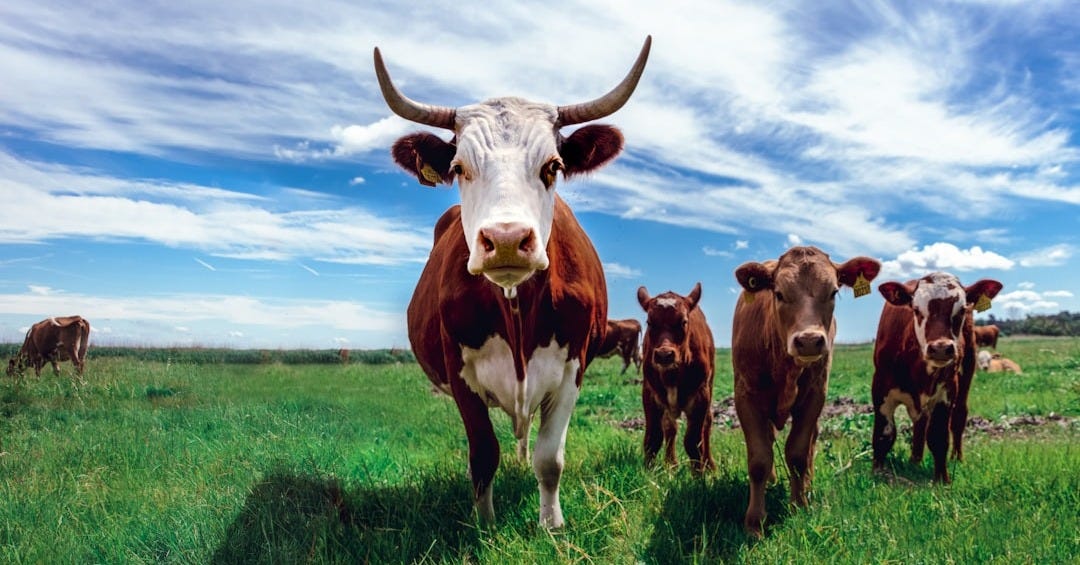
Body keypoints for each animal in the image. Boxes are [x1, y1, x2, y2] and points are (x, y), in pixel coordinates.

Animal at [375, 36, 651, 528]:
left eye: (553, 166)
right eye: (459, 168)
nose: (505, 240)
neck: (517, 308)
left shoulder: (573, 368)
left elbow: (550, 458)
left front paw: (551, 524)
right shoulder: (459, 372)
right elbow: (484, 454)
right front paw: (484, 523)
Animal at [636, 283, 715, 473]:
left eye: (683, 322)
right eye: (650, 322)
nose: (664, 355)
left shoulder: (701, 395)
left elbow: (693, 442)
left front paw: (699, 475)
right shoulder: (649, 393)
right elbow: (653, 438)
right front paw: (649, 472)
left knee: (707, 424)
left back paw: (709, 465)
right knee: (670, 427)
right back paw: (670, 464)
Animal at [732, 246, 881, 537]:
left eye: (833, 292)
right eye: (779, 293)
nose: (810, 340)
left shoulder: (815, 395)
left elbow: (798, 453)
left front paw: (799, 505)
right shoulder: (745, 396)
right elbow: (759, 459)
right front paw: (754, 521)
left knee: (811, 442)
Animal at [872, 272, 1003, 484]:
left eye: (961, 310)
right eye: (916, 309)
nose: (941, 348)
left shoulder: (946, 391)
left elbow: (938, 437)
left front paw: (942, 479)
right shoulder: (880, 388)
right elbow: (884, 435)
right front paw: (877, 473)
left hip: (968, 369)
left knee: (958, 416)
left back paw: (956, 457)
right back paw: (914, 460)